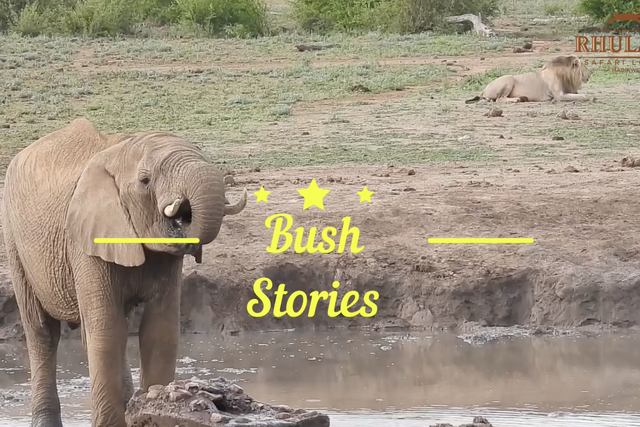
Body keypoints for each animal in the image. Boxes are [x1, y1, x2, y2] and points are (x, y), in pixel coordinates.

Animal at [0, 118, 248, 427]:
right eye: (145, 181)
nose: (184, 215)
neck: (122, 150)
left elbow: (160, 330)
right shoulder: (86, 240)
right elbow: (107, 331)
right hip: (14, 240)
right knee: (43, 332)